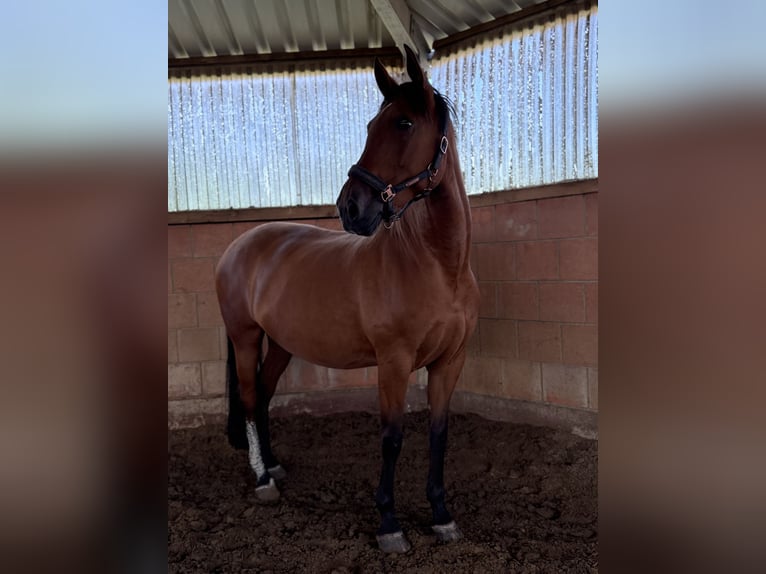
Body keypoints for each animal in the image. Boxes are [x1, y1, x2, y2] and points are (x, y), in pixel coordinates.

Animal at [215, 45, 480, 553]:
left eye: (403, 123)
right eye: (372, 125)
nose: (351, 208)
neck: (437, 265)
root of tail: (238, 247)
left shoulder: (451, 361)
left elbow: (439, 434)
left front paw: (441, 517)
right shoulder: (394, 362)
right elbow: (392, 437)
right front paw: (389, 525)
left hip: (281, 343)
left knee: (264, 395)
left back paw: (274, 466)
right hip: (245, 336)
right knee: (251, 395)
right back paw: (263, 481)